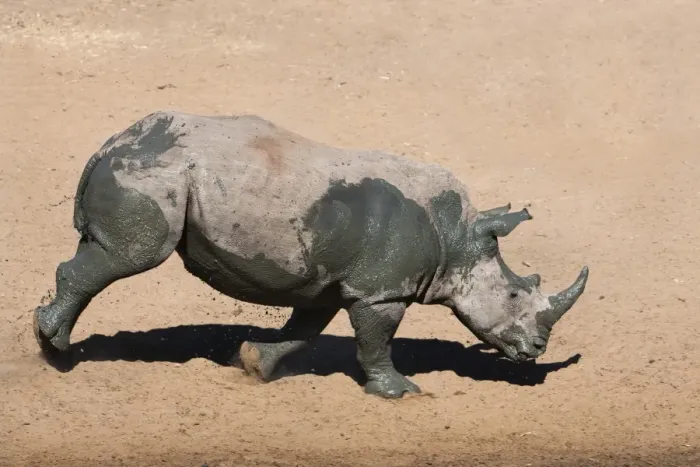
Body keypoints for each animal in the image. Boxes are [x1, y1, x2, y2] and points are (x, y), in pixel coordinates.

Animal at [33, 111, 589, 398]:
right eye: (516, 295)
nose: (537, 350)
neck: (457, 237)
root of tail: (107, 145)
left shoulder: (328, 280)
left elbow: (303, 330)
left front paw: (254, 364)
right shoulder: (381, 290)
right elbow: (376, 341)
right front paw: (399, 392)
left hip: (150, 170)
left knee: (102, 252)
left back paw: (53, 342)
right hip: (153, 174)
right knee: (130, 257)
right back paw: (55, 350)